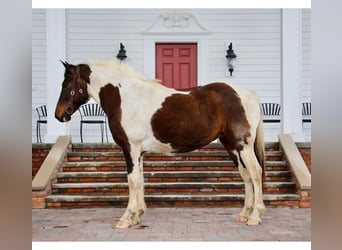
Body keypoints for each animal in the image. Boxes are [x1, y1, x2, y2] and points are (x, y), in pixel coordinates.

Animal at [54, 59, 266, 228]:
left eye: (66, 84)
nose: (58, 114)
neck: (125, 98)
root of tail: (248, 94)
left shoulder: (130, 148)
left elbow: (132, 180)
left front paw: (126, 218)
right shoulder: (138, 152)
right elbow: (139, 180)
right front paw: (137, 216)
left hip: (243, 145)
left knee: (255, 173)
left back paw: (255, 216)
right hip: (232, 145)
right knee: (246, 175)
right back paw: (244, 214)